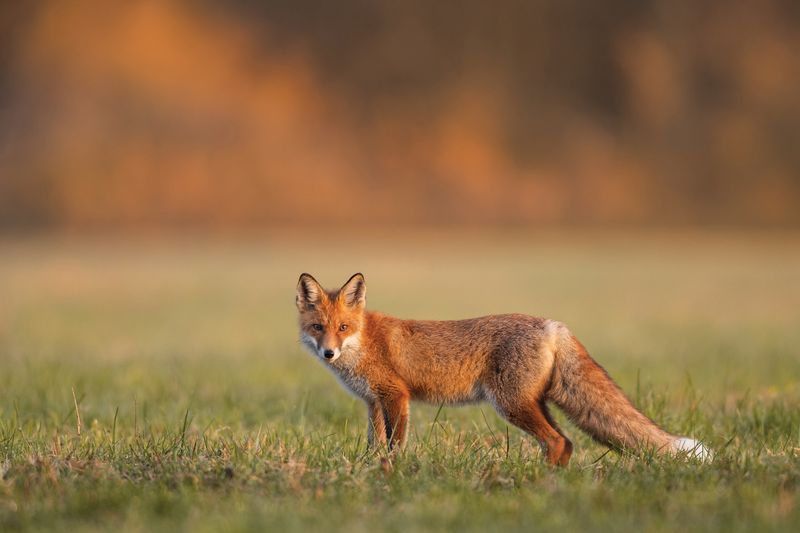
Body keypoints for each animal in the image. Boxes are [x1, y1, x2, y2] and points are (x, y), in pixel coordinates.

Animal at [296, 272, 709, 466]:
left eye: (342, 328)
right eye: (318, 328)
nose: (329, 353)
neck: (365, 341)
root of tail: (553, 324)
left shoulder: (396, 396)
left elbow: (396, 443)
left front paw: (393, 469)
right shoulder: (372, 403)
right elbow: (375, 442)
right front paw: (371, 466)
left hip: (511, 405)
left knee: (558, 441)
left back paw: (540, 483)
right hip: (531, 403)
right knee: (566, 442)